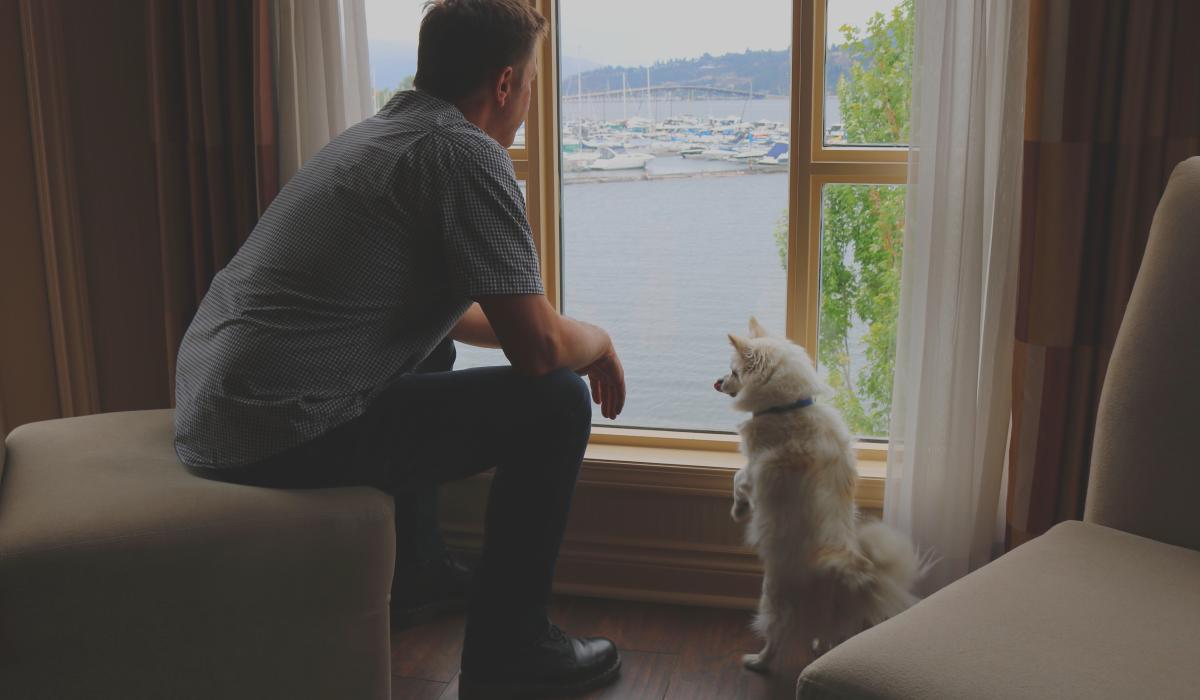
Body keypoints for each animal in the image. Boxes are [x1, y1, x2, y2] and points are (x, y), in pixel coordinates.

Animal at [710, 316, 926, 672]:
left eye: (733, 372)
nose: (716, 381)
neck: (787, 407)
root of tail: (854, 569)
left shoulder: (757, 467)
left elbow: (738, 477)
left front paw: (739, 510)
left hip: (774, 595)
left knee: (778, 634)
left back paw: (758, 661)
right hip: (829, 611)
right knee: (829, 635)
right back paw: (819, 648)